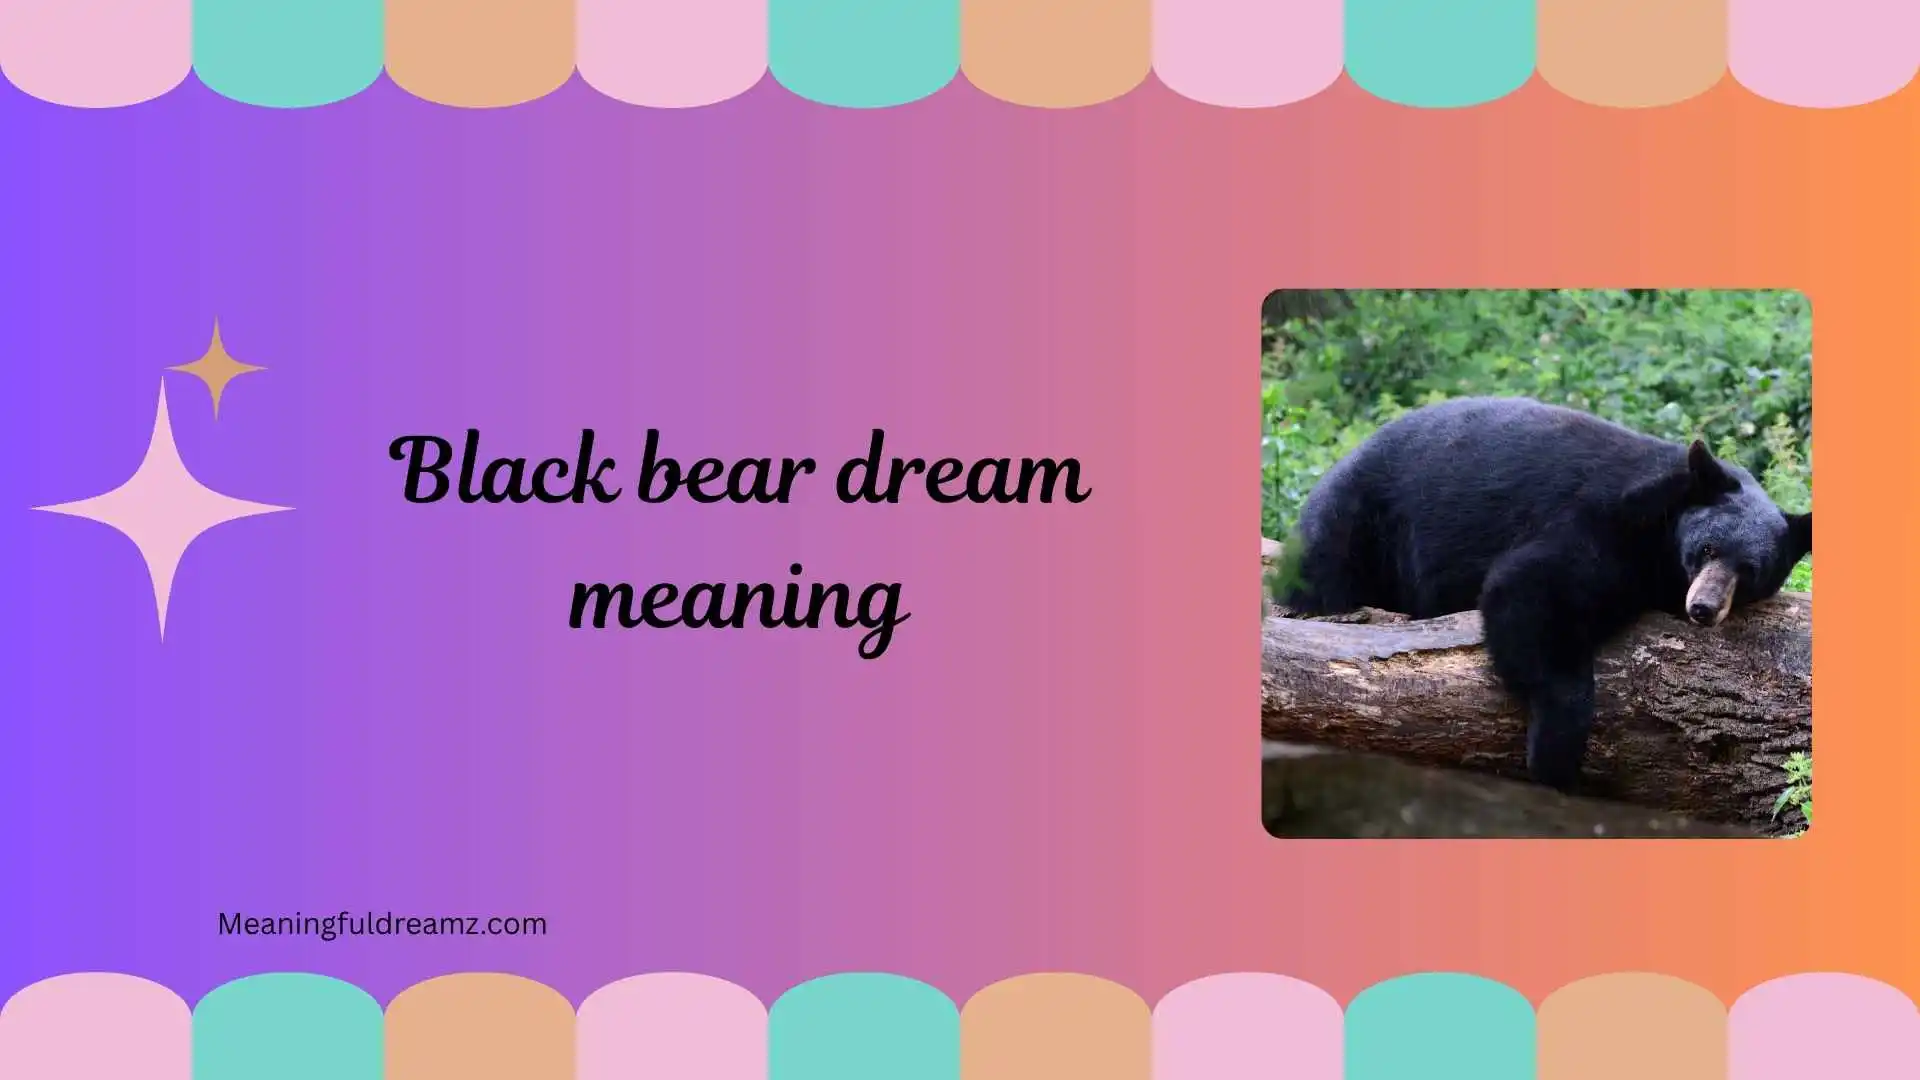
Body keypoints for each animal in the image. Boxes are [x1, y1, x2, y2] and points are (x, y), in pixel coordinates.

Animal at [1278, 395, 1811, 792]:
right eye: (1707, 548)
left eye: (1750, 571)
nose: (1703, 608)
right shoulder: (1605, 518)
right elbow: (1532, 587)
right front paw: (1556, 752)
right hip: (1361, 518)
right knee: (1326, 567)